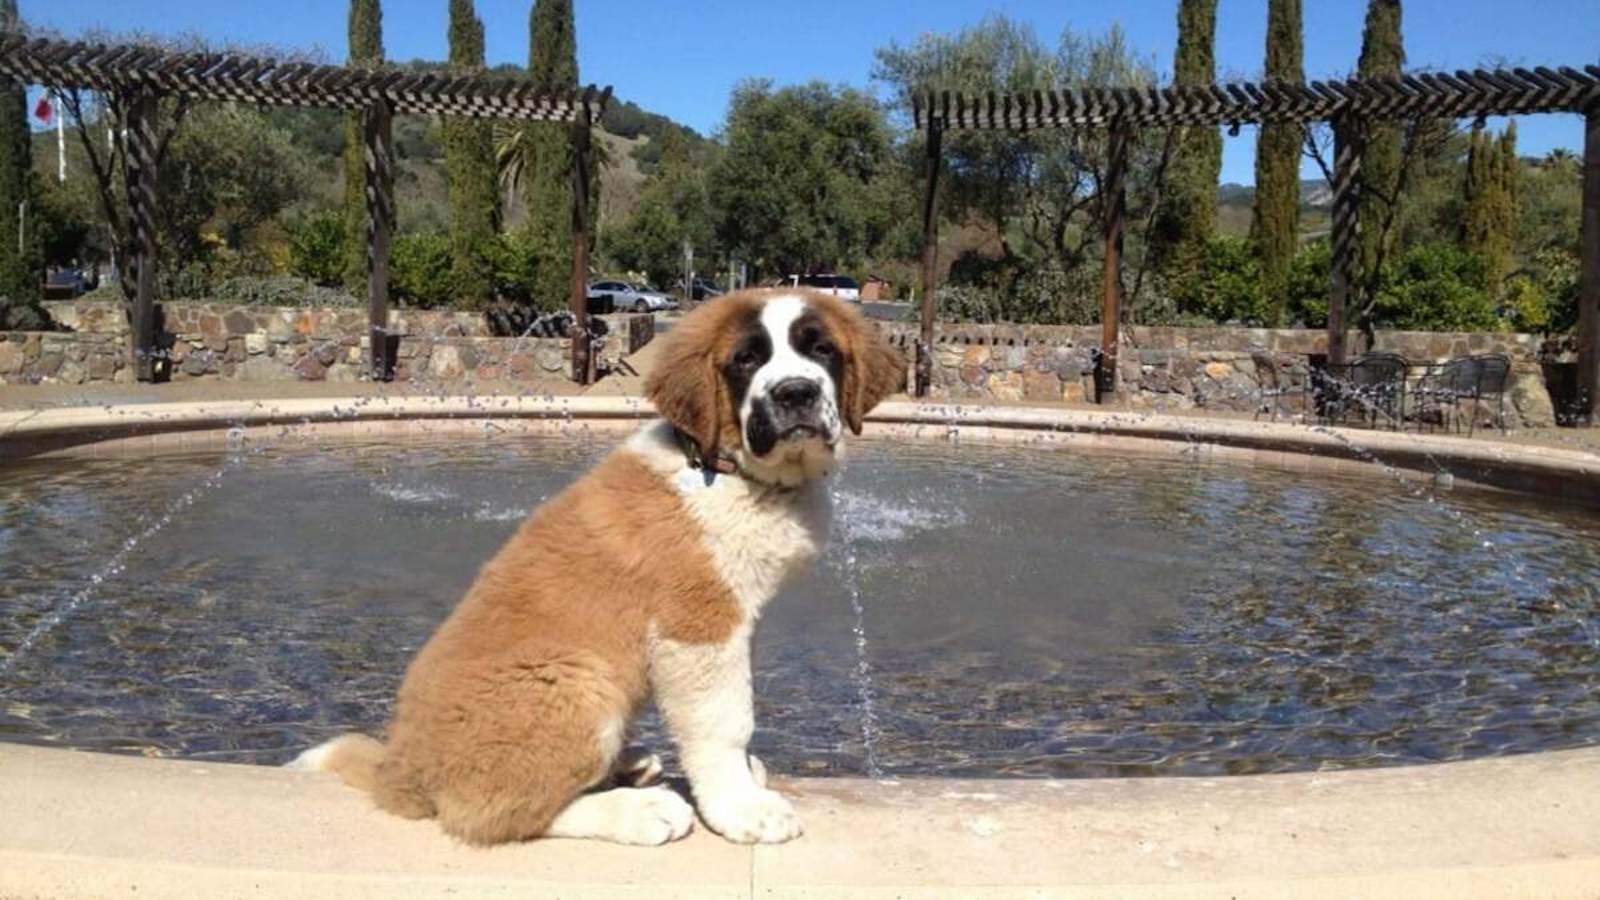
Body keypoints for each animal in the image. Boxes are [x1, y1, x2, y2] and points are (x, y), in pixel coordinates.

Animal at [292, 291, 908, 845]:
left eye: (821, 350)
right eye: (746, 360)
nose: (796, 393)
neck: (723, 469)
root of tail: (400, 769)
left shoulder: (739, 620)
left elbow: (742, 700)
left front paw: (748, 777)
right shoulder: (697, 626)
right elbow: (724, 721)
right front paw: (741, 808)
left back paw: (628, 765)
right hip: (576, 679)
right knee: (492, 814)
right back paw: (637, 811)